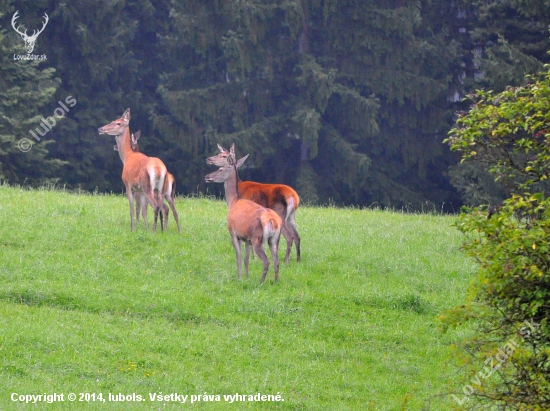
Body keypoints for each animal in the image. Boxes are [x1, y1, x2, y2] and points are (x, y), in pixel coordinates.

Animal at [207, 150, 284, 284]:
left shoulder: (233, 232)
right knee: (276, 261)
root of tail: (273, 221)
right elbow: (246, 259)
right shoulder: (246, 238)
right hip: (274, 239)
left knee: (267, 261)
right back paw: (275, 282)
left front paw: (239, 277)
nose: (207, 176)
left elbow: (238, 257)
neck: (233, 202)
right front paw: (247, 277)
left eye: (221, 169)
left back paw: (261, 282)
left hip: (258, 238)